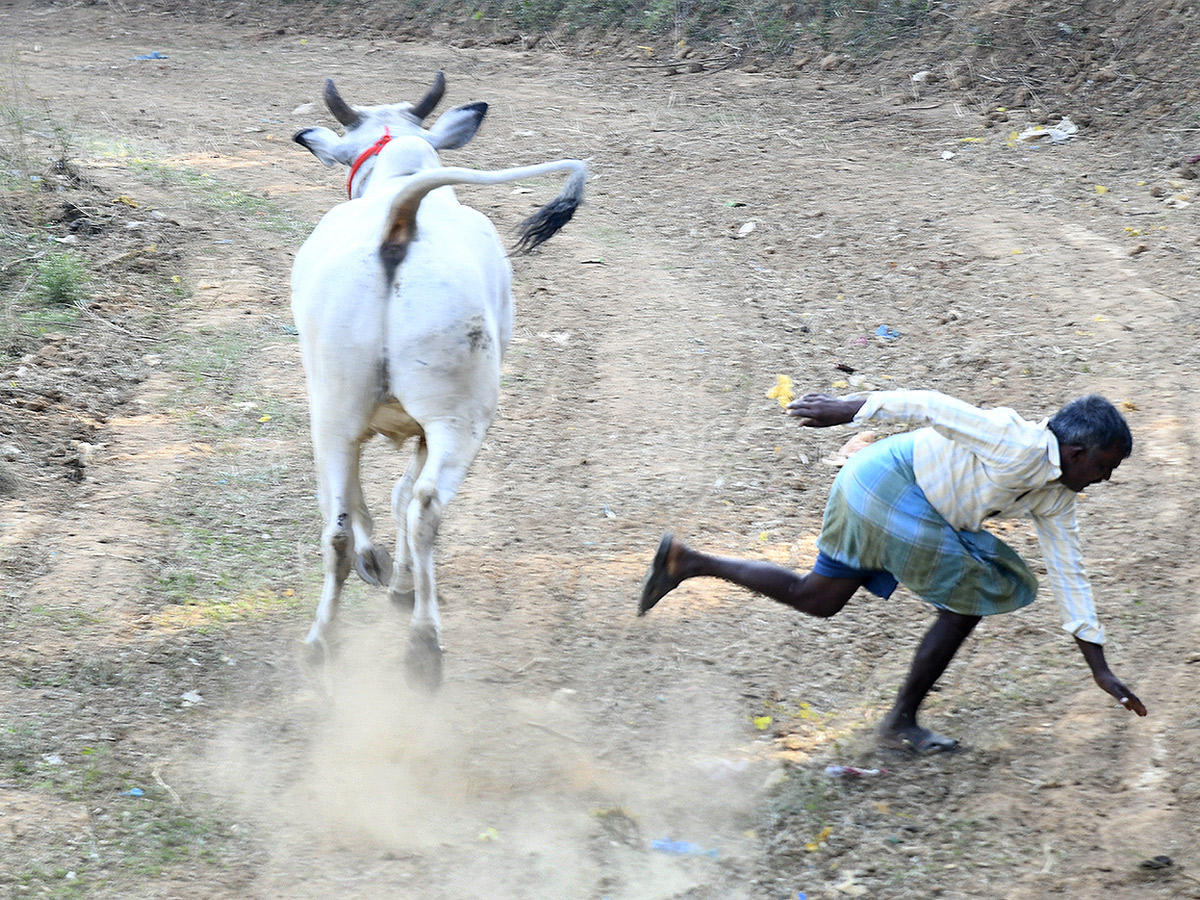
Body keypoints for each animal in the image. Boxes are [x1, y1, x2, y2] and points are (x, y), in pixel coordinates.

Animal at [292, 74, 588, 686]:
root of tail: (400, 220)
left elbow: (368, 500)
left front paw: (378, 564)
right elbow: (400, 493)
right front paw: (397, 577)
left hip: (331, 411)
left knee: (340, 524)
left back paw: (324, 640)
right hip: (461, 415)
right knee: (424, 506)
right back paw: (422, 642)